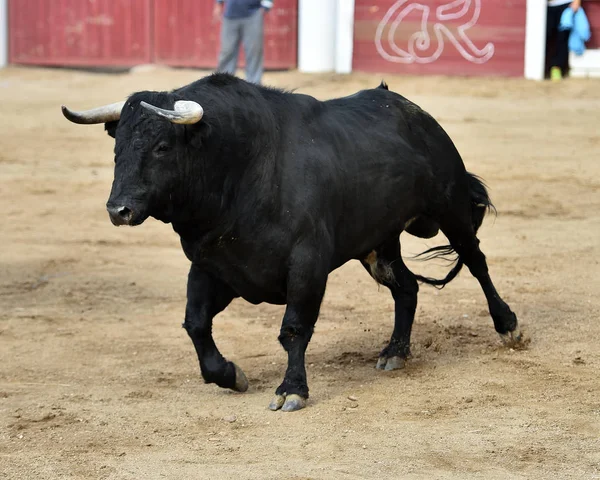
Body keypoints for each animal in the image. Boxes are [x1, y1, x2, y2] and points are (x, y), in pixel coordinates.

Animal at [62, 73, 520, 410]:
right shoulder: (213, 265)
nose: (118, 210)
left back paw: (508, 326)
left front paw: (292, 390)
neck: (240, 168)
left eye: (161, 147)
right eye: (117, 150)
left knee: (476, 262)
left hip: (451, 208)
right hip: (378, 244)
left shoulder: (307, 262)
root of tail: (414, 113)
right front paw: (229, 375)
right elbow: (196, 323)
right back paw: (394, 352)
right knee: (406, 287)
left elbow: (294, 329)